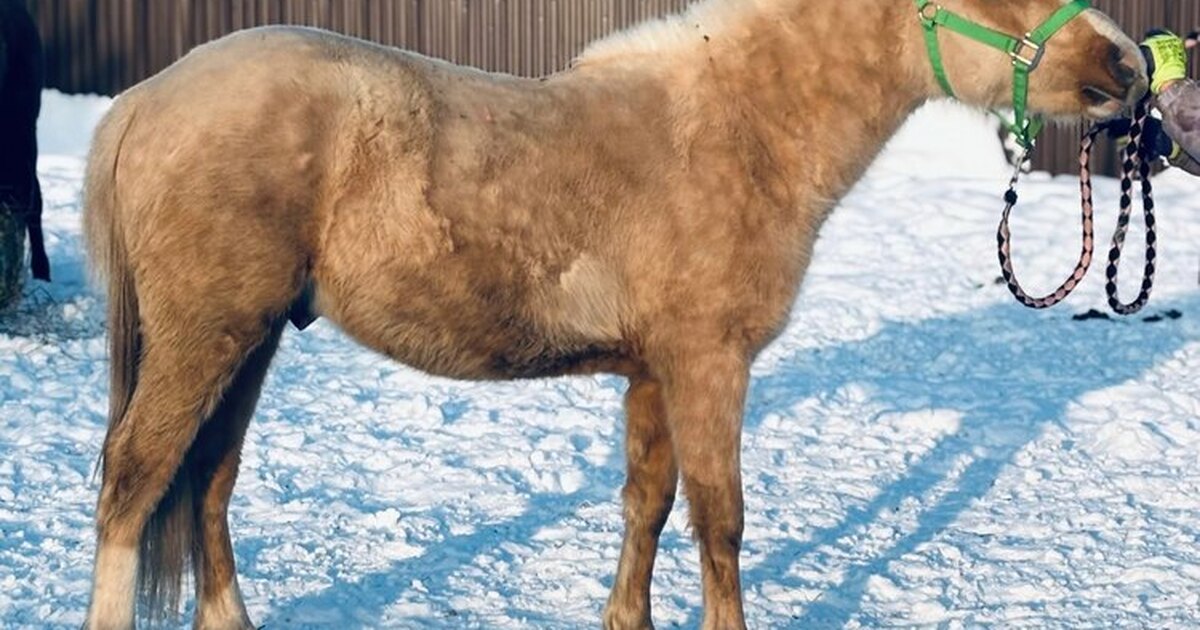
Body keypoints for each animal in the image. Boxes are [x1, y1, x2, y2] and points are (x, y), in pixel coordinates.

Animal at [82, 0, 1146, 627]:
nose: (1131, 61)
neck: (741, 128)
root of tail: (145, 98)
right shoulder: (710, 365)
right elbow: (721, 521)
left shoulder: (651, 373)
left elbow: (649, 505)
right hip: (207, 338)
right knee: (135, 484)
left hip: (250, 342)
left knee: (207, 484)